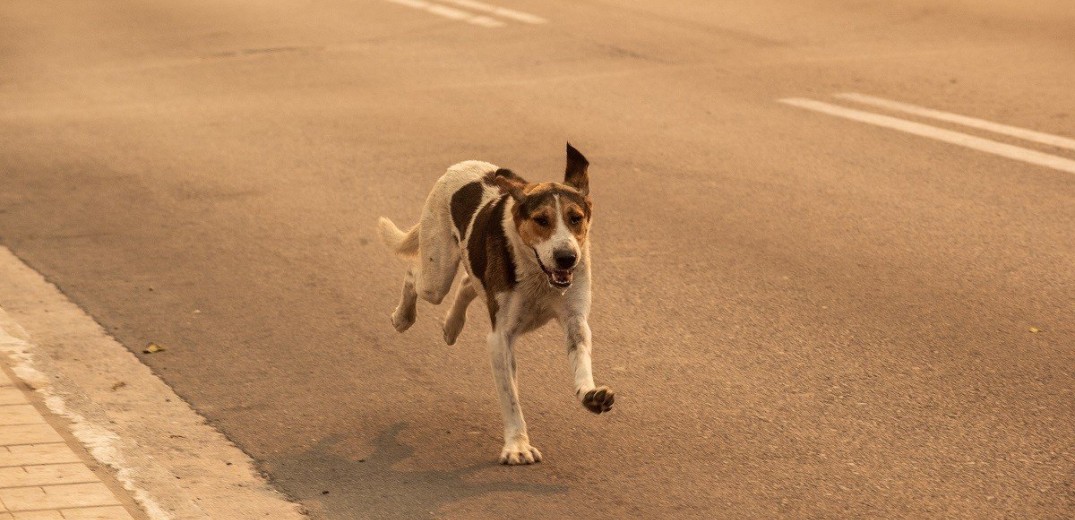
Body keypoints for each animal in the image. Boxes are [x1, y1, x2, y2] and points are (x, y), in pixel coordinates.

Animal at [376, 143, 614, 464]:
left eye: (575, 218)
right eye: (542, 220)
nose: (567, 258)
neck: (537, 274)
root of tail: (460, 166)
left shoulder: (575, 321)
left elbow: (581, 361)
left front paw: (590, 395)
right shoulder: (501, 338)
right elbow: (510, 398)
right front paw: (517, 445)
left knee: (467, 282)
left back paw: (452, 326)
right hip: (437, 275)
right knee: (415, 273)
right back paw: (403, 317)